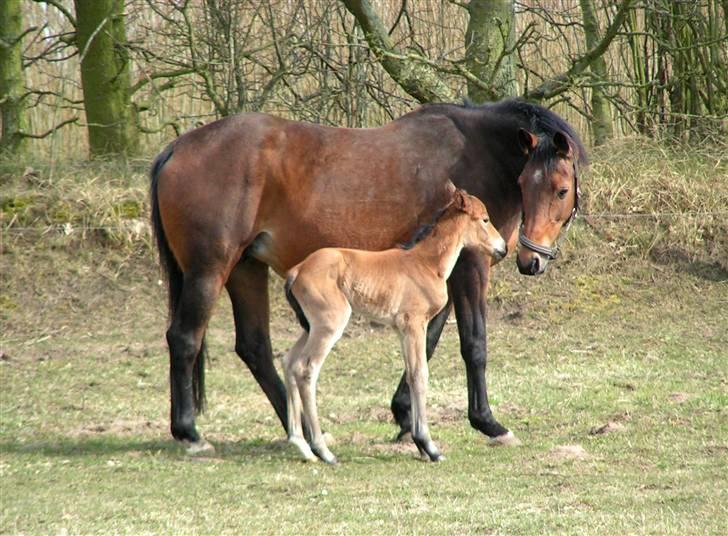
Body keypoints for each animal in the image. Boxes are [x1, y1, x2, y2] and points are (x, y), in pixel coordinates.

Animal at [282, 186, 506, 462]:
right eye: (485, 219)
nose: (503, 248)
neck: (426, 263)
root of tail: (297, 270)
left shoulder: (402, 329)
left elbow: (410, 374)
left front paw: (420, 442)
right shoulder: (415, 324)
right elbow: (420, 375)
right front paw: (430, 446)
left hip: (309, 327)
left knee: (289, 362)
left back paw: (300, 444)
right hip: (328, 325)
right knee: (307, 369)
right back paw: (323, 450)